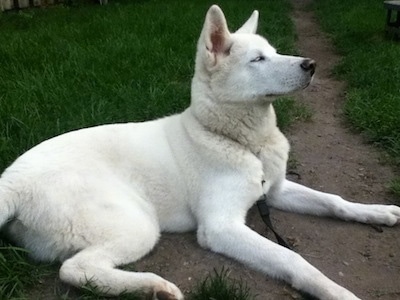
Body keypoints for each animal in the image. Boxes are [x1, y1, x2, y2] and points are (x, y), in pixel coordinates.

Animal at [0, 5, 400, 300]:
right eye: (257, 60)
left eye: (274, 52)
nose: (311, 65)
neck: (242, 143)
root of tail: (12, 181)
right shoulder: (221, 227)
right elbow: (293, 259)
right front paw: (335, 291)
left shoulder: (274, 192)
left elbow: (334, 201)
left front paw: (378, 211)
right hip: (138, 223)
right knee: (75, 269)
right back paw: (152, 287)